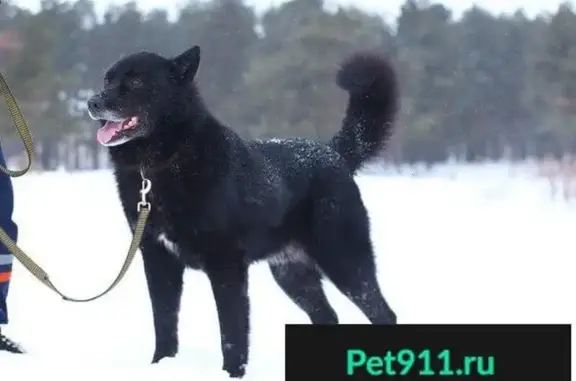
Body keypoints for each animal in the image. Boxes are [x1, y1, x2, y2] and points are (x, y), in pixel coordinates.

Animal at [88, 46, 398, 376]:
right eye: (107, 80)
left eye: (136, 82)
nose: (92, 102)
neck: (164, 161)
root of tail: (332, 153)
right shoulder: (159, 260)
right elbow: (165, 323)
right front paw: (161, 365)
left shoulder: (227, 267)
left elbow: (233, 332)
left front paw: (232, 373)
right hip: (293, 275)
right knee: (327, 316)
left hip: (345, 263)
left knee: (383, 313)